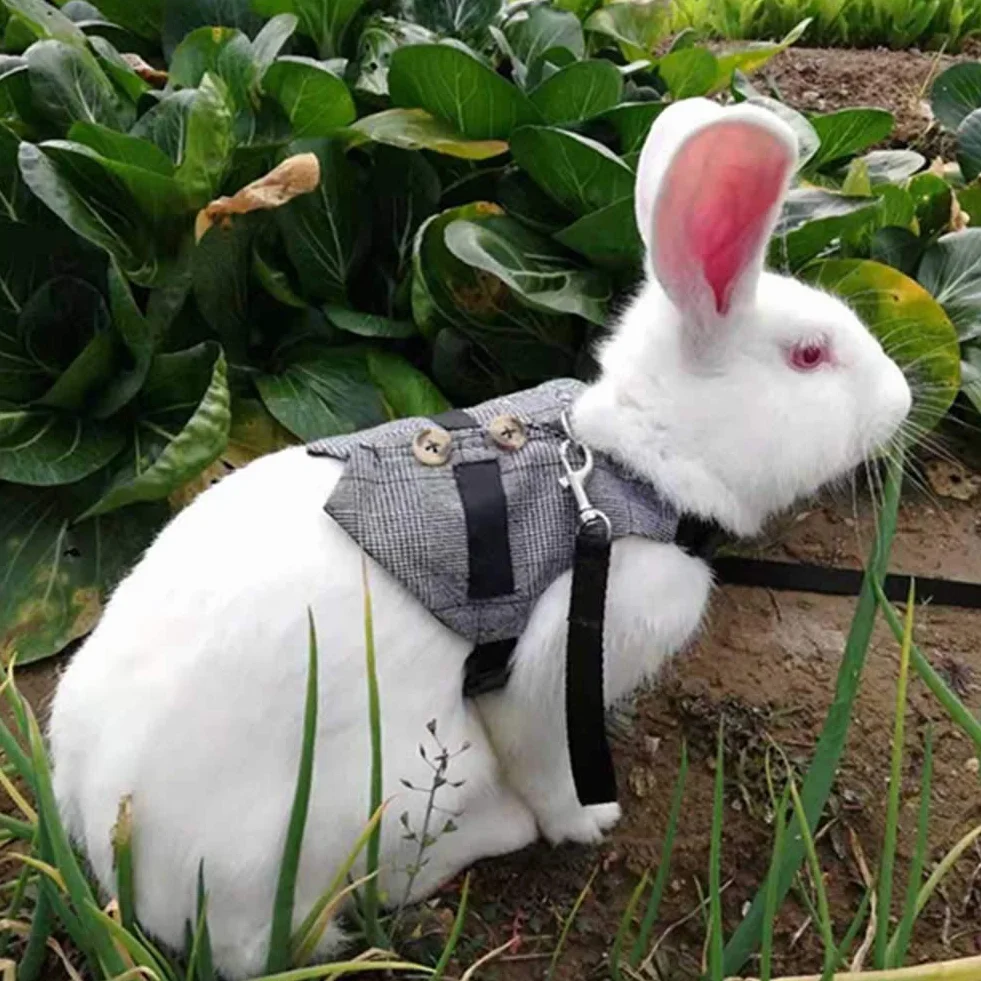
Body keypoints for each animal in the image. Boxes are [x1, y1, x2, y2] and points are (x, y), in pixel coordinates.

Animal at [47, 97, 912, 979]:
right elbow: (550, 768)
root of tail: (118, 851)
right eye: (808, 355)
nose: (903, 400)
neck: (630, 467)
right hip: (389, 790)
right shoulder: (564, 662)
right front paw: (587, 822)